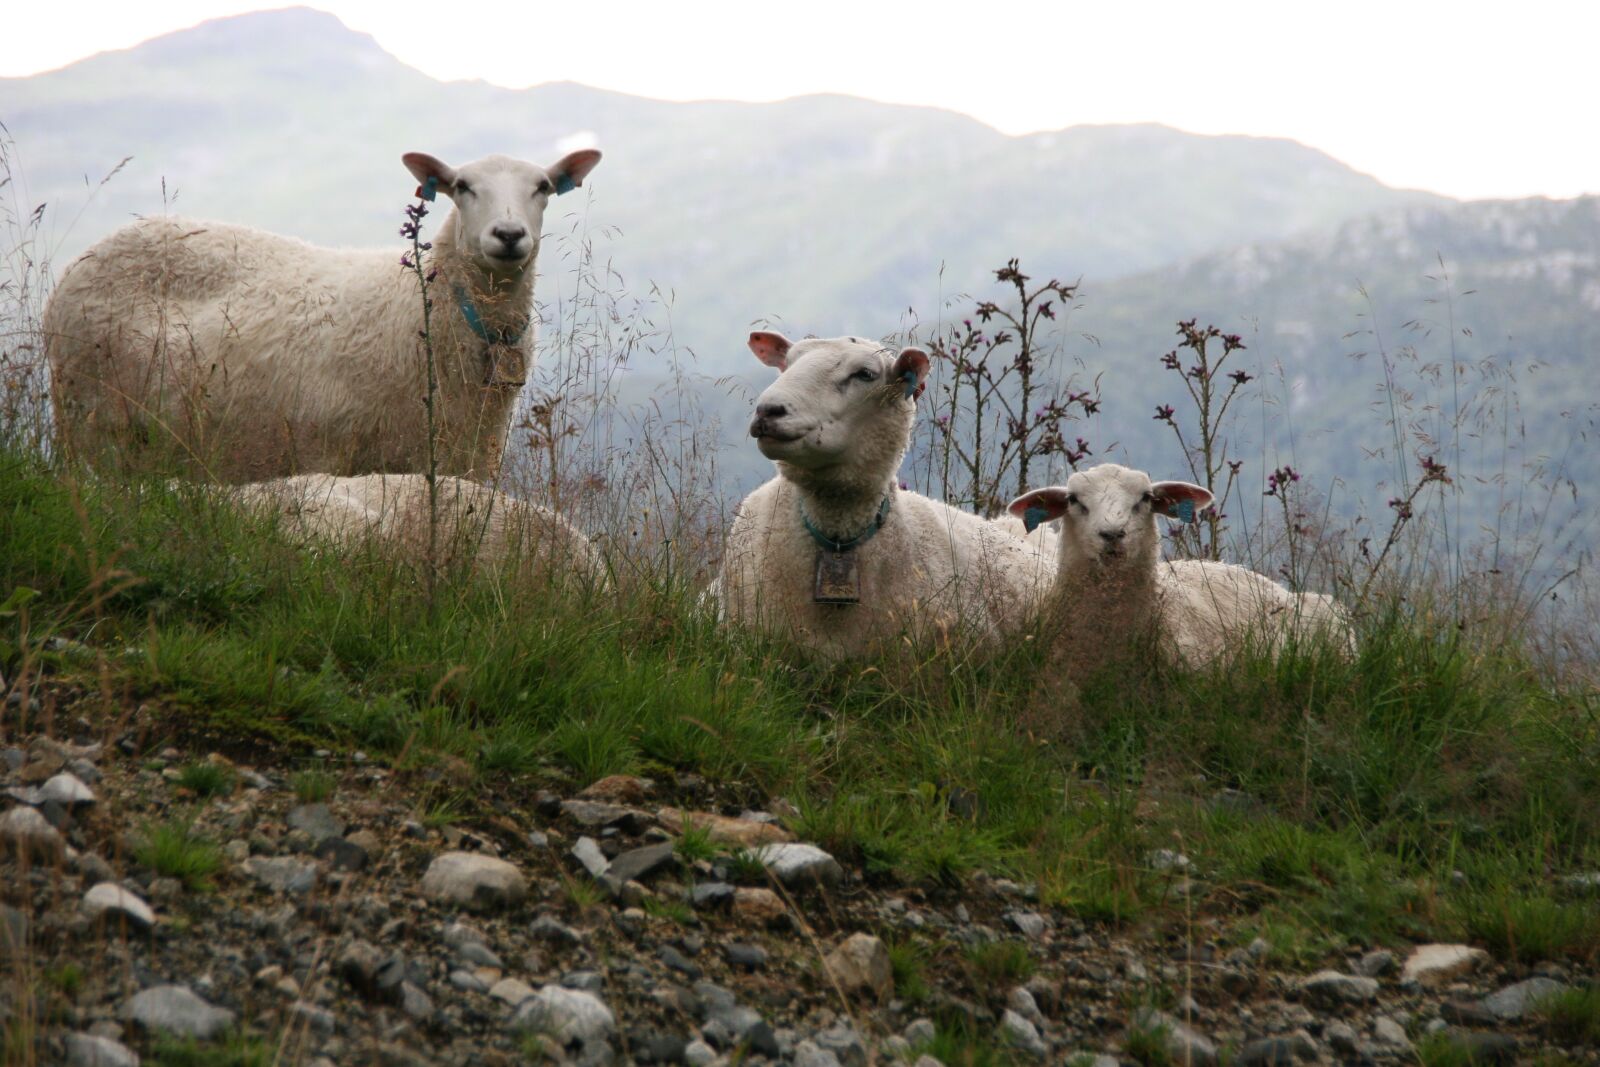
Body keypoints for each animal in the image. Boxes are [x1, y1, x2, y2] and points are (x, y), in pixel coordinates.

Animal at [44, 148, 601, 482]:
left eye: (543, 187)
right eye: (462, 186)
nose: (508, 235)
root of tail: (86, 256)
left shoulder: (470, 458)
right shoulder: (326, 450)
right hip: (88, 416)